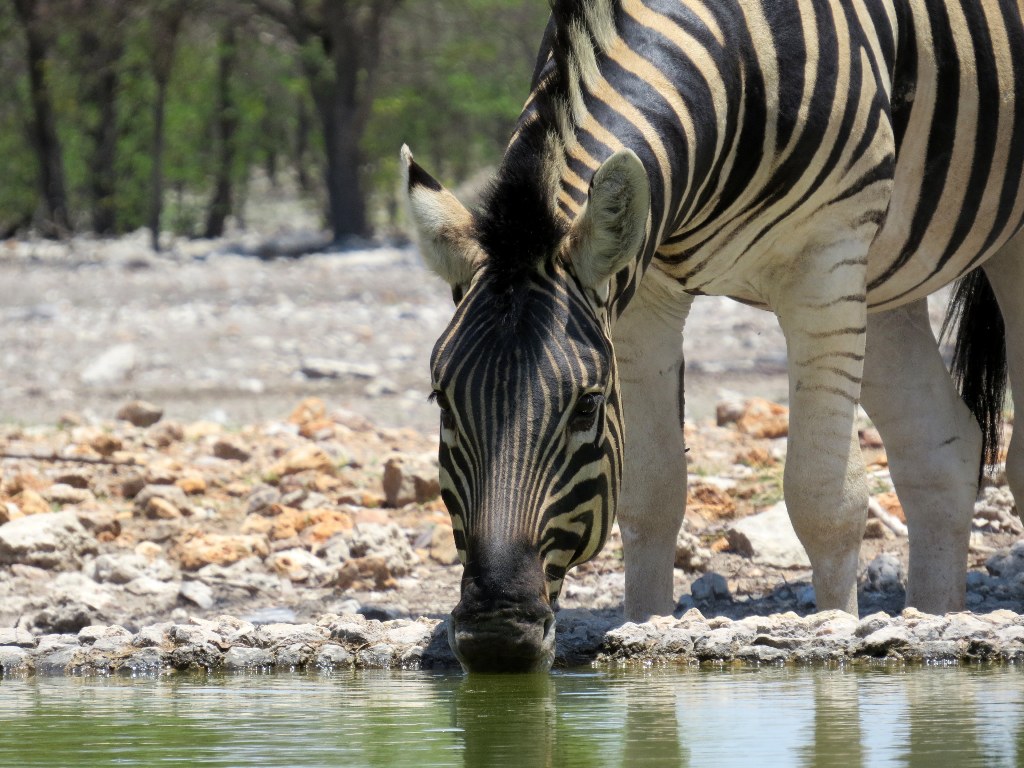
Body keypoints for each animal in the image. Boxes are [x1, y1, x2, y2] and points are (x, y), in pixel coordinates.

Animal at [402, 0, 1022, 672]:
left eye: (587, 405)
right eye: (441, 400)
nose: (497, 637)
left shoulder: (822, 261)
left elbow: (823, 498)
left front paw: (835, 636)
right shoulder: (643, 292)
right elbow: (650, 495)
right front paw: (645, 635)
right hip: (885, 268)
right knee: (942, 447)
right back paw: (935, 619)